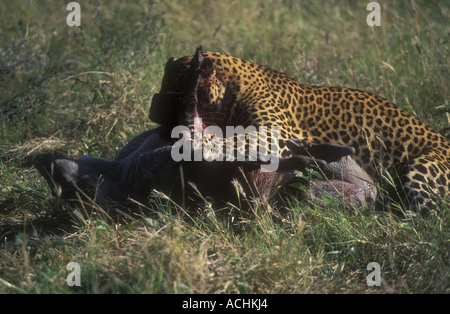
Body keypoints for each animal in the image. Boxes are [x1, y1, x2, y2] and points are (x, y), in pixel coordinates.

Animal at [150, 46, 450, 213]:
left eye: (175, 92)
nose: (152, 113)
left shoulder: (272, 134)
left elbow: (232, 141)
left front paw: (198, 143)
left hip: (421, 172)